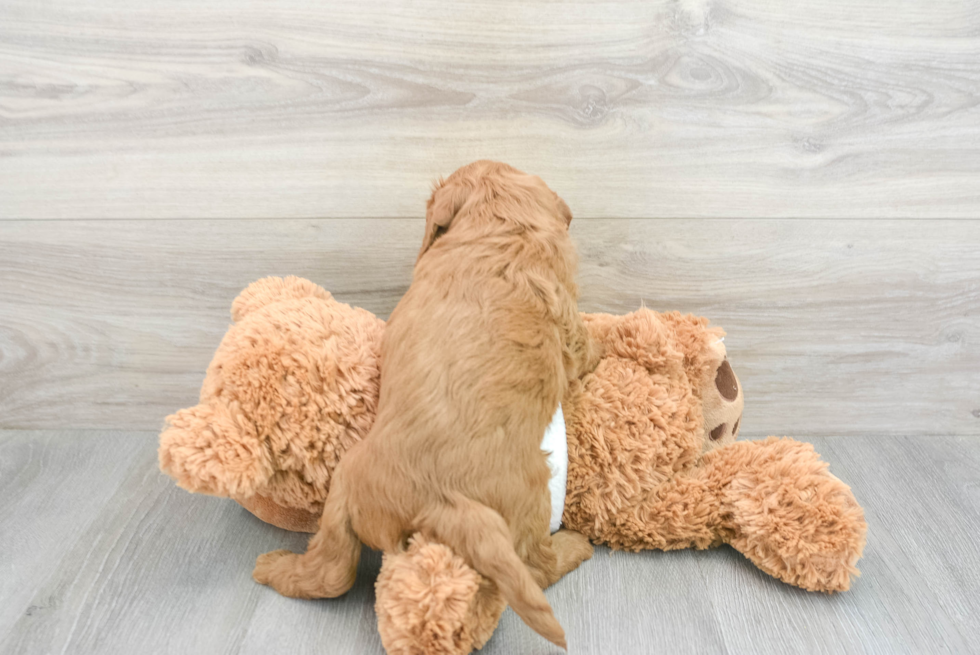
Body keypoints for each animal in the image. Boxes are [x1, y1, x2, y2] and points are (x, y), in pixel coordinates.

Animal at [253, 161, 592, 648]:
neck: (501, 226)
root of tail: (443, 497)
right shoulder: (571, 328)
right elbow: (588, 348)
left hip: (346, 485)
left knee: (332, 570)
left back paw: (274, 567)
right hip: (531, 500)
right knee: (537, 569)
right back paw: (575, 546)